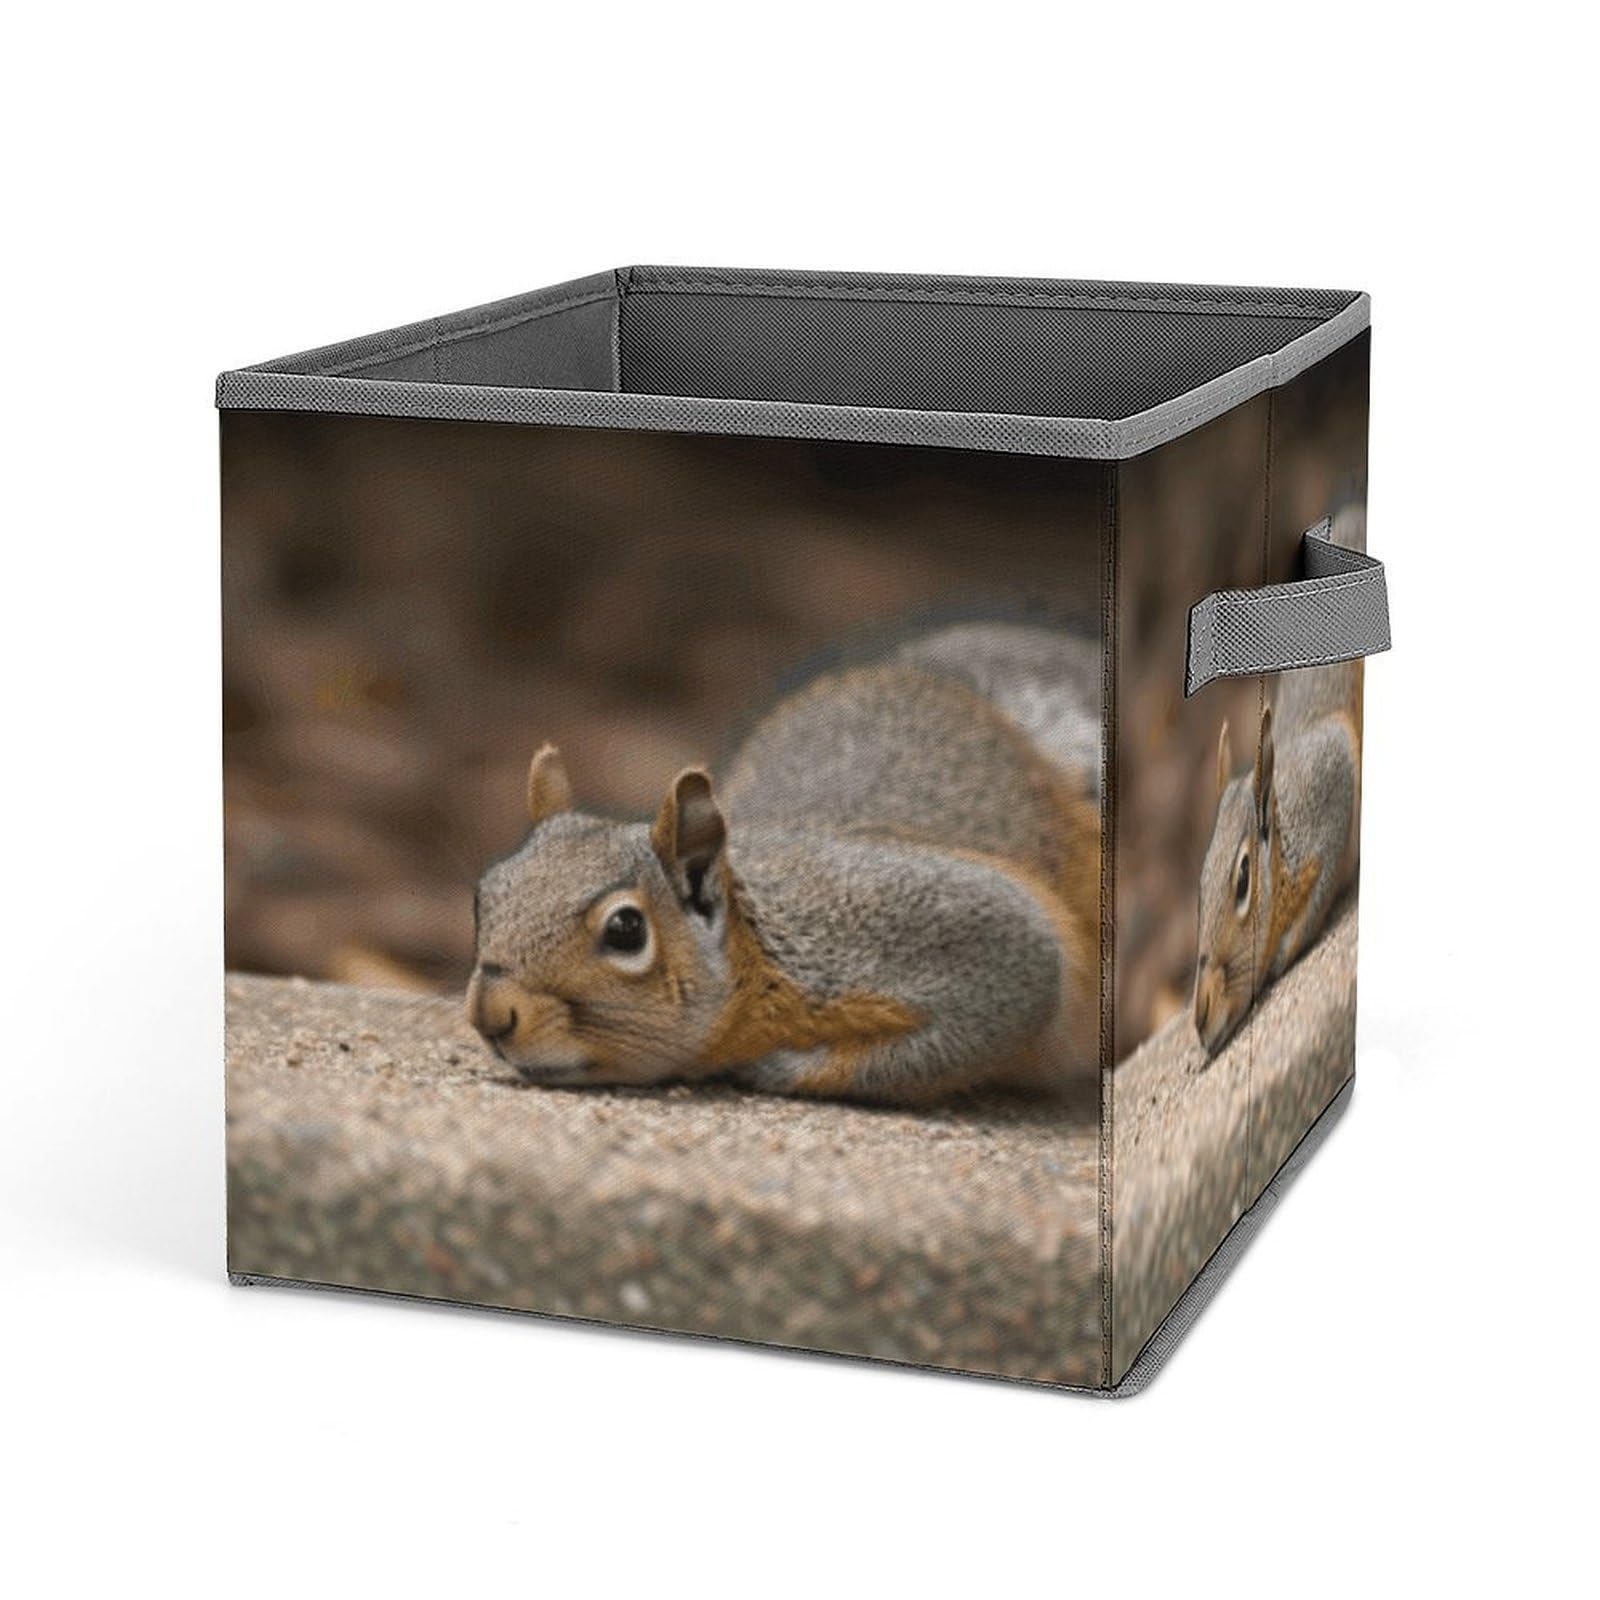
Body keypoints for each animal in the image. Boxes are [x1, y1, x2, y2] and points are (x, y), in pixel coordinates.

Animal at [467, 623, 1102, 1103]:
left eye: (626, 929)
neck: (761, 953)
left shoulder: (944, 927)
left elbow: (983, 1017)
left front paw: (778, 1067)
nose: (491, 1016)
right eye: (483, 896)